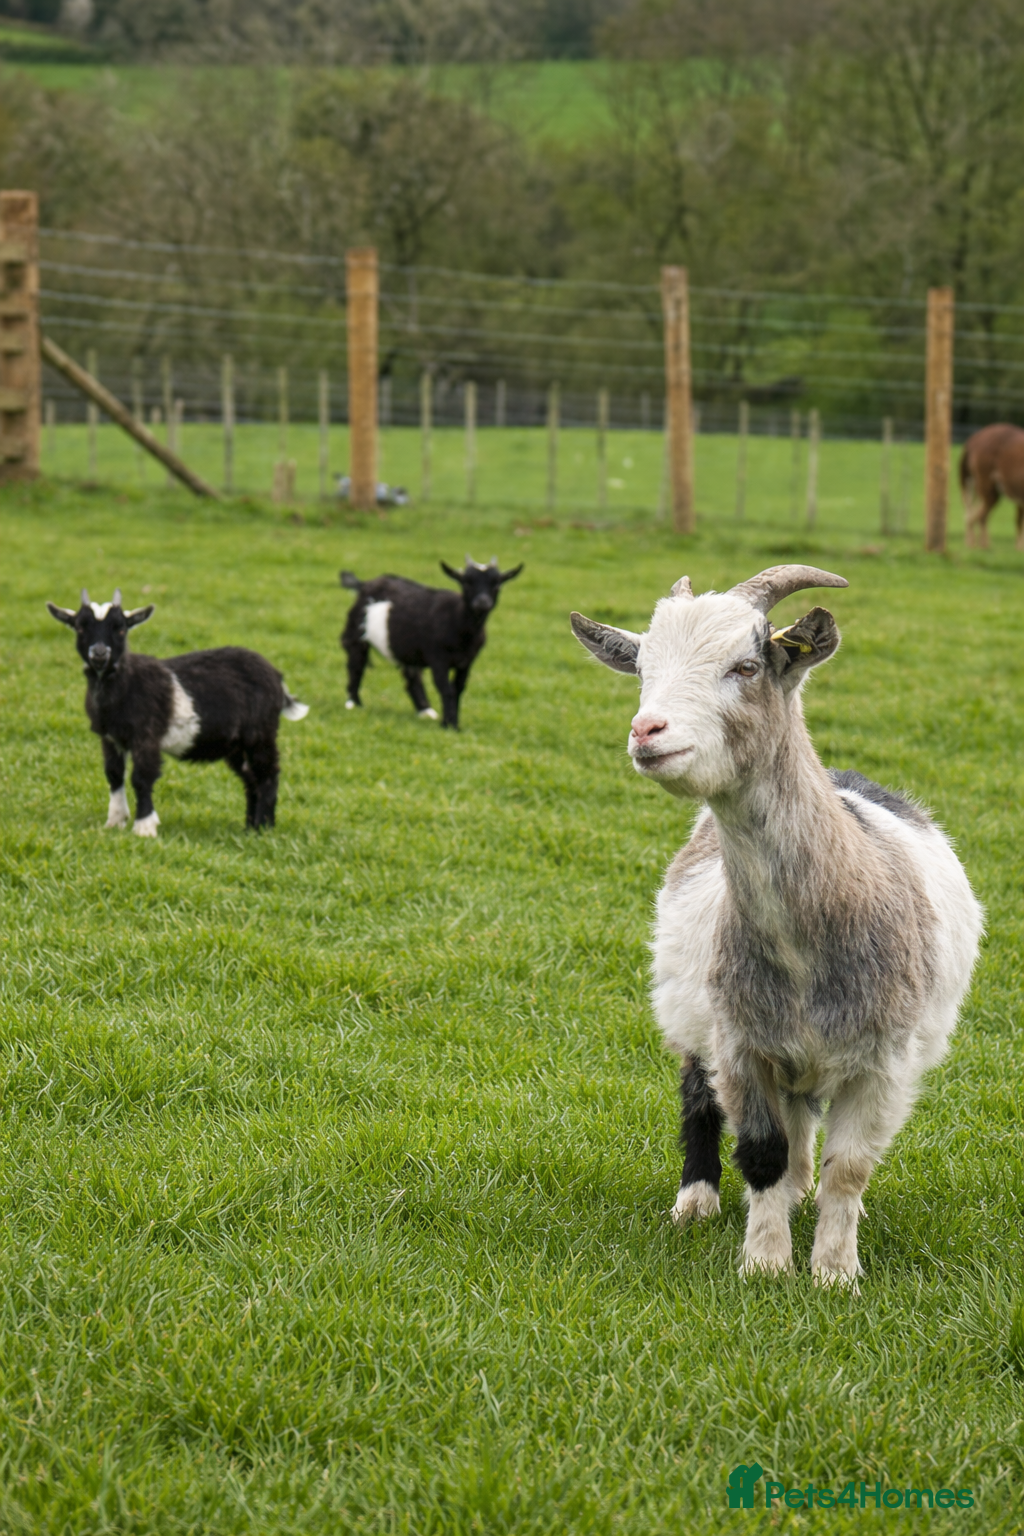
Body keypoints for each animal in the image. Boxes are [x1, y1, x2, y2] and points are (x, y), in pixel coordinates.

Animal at [47, 589, 309, 836]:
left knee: (268, 774)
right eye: (80, 627)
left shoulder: (146, 735)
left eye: (120, 628)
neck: (125, 682)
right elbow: (114, 774)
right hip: (236, 744)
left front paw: (144, 827)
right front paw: (115, 821)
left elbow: (141, 777)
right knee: (250, 778)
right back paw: (249, 828)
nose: (100, 654)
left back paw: (264, 828)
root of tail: (277, 678)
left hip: (260, 734)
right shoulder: (110, 738)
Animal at [339, 556, 523, 729]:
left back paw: (425, 711)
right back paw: (354, 703)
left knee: (411, 676)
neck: (459, 619)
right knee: (356, 665)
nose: (482, 602)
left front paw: (453, 723)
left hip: (408, 648)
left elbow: (458, 689)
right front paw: (449, 725)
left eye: (497, 584)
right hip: (355, 633)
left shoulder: (467, 661)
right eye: (466, 583)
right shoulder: (438, 657)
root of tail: (365, 584)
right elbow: (446, 689)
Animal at [571, 564, 982, 1287]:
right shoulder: (741, 1043)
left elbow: (848, 1168)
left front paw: (834, 1273)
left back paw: (801, 1195)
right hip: (691, 1009)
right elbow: (761, 1150)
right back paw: (698, 1202)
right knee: (699, 1095)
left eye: (746, 665)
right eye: (643, 668)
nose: (648, 730)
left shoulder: (884, 1060)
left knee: (803, 1131)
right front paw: (765, 1266)